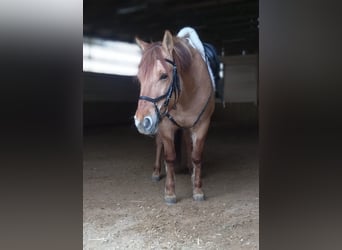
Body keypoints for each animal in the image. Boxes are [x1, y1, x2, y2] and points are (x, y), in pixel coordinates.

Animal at [134, 29, 214, 204]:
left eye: (164, 76)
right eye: (139, 78)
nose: (141, 122)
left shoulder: (202, 125)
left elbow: (196, 156)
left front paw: (197, 189)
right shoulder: (165, 126)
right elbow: (169, 157)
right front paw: (170, 192)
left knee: (187, 142)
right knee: (159, 145)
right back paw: (157, 172)